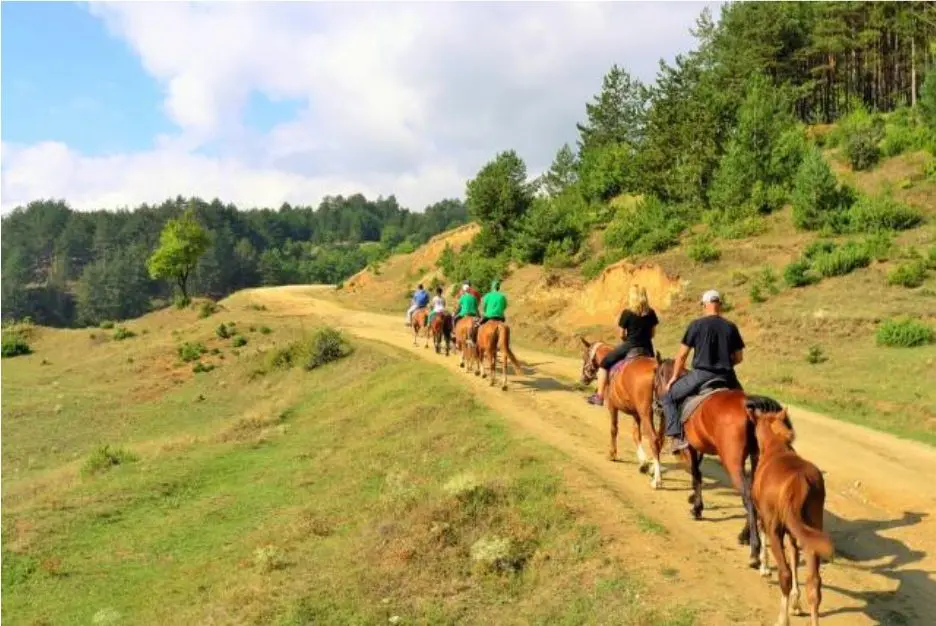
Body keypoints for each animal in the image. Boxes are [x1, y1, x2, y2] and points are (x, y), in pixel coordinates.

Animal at [576, 336, 664, 488]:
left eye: (584, 356)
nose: (584, 378)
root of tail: (656, 368)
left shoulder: (613, 407)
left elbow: (614, 429)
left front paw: (612, 454)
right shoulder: (636, 414)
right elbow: (636, 436)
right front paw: (644, 463)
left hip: (646, 413)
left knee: (654, 439)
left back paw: (656, 480)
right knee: (661, 439)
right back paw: (654, 469)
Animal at [652, 356, 784, 564]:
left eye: (655, 378)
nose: (655, 406)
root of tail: (750, 408)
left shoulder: (691, 445)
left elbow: (696, 473)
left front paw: (697, 508)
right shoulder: (699, 446)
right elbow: (696, 472)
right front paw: (694, 500)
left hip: (733, 461)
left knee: (747, 496)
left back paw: (754, 550)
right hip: (757, 458)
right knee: (753, 494)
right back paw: (744, 535)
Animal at [748, 400, 836, 624]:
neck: (776, 447)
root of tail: (800, 481)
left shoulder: (766, 518)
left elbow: (764, 538)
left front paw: (763, 567)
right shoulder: (794, 528)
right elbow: (795, 556)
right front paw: (797, 603)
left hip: (777, 528)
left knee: (785, 574)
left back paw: (782, 619)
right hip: (812, 526)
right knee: (814, 584)